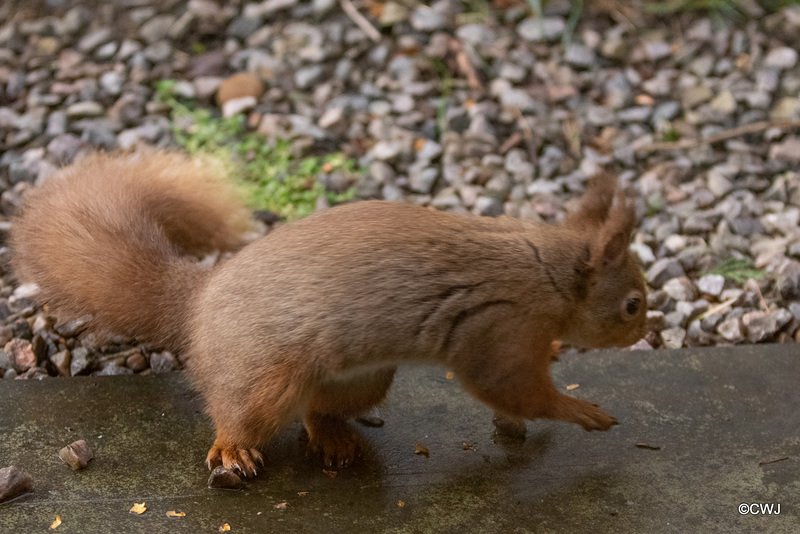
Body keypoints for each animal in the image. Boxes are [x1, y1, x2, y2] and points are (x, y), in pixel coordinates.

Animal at [12, 151, 648, 478]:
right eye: (632, 304)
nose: (649, 329)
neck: (547, 274)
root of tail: (200, 299)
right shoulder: (499, 327)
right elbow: (511, 388)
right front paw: (583, 412)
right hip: (263, 377)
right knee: (240, 409)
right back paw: (233, 449)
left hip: (362, 376)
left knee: (318, 410)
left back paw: (336, 440)